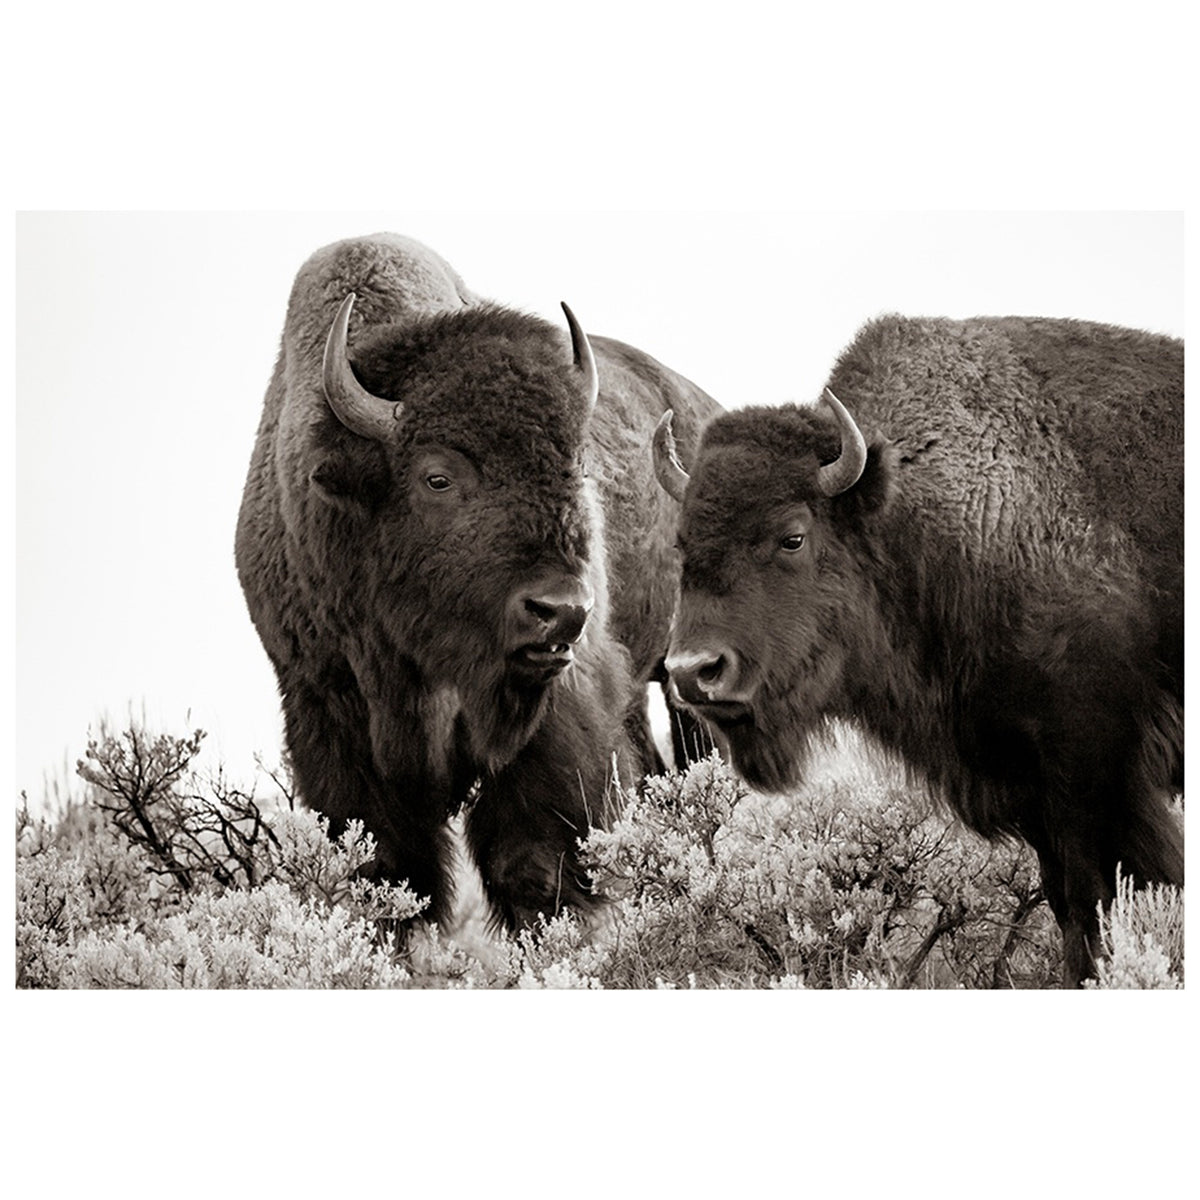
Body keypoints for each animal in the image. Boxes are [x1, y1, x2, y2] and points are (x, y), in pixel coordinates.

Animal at [237, 233, 719, 928]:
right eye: (437, 477)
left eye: (577, 466)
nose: (563, 610)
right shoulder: (325, 708)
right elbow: (392, 876)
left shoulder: (557, 709)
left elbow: (534, 864)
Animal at [655, 314, 1183, 986]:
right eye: (681, 545)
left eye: (792, 536)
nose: (693, 673)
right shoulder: (1029, 782)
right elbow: (1069, 907)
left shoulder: (1095, 772)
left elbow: (1097, 902)